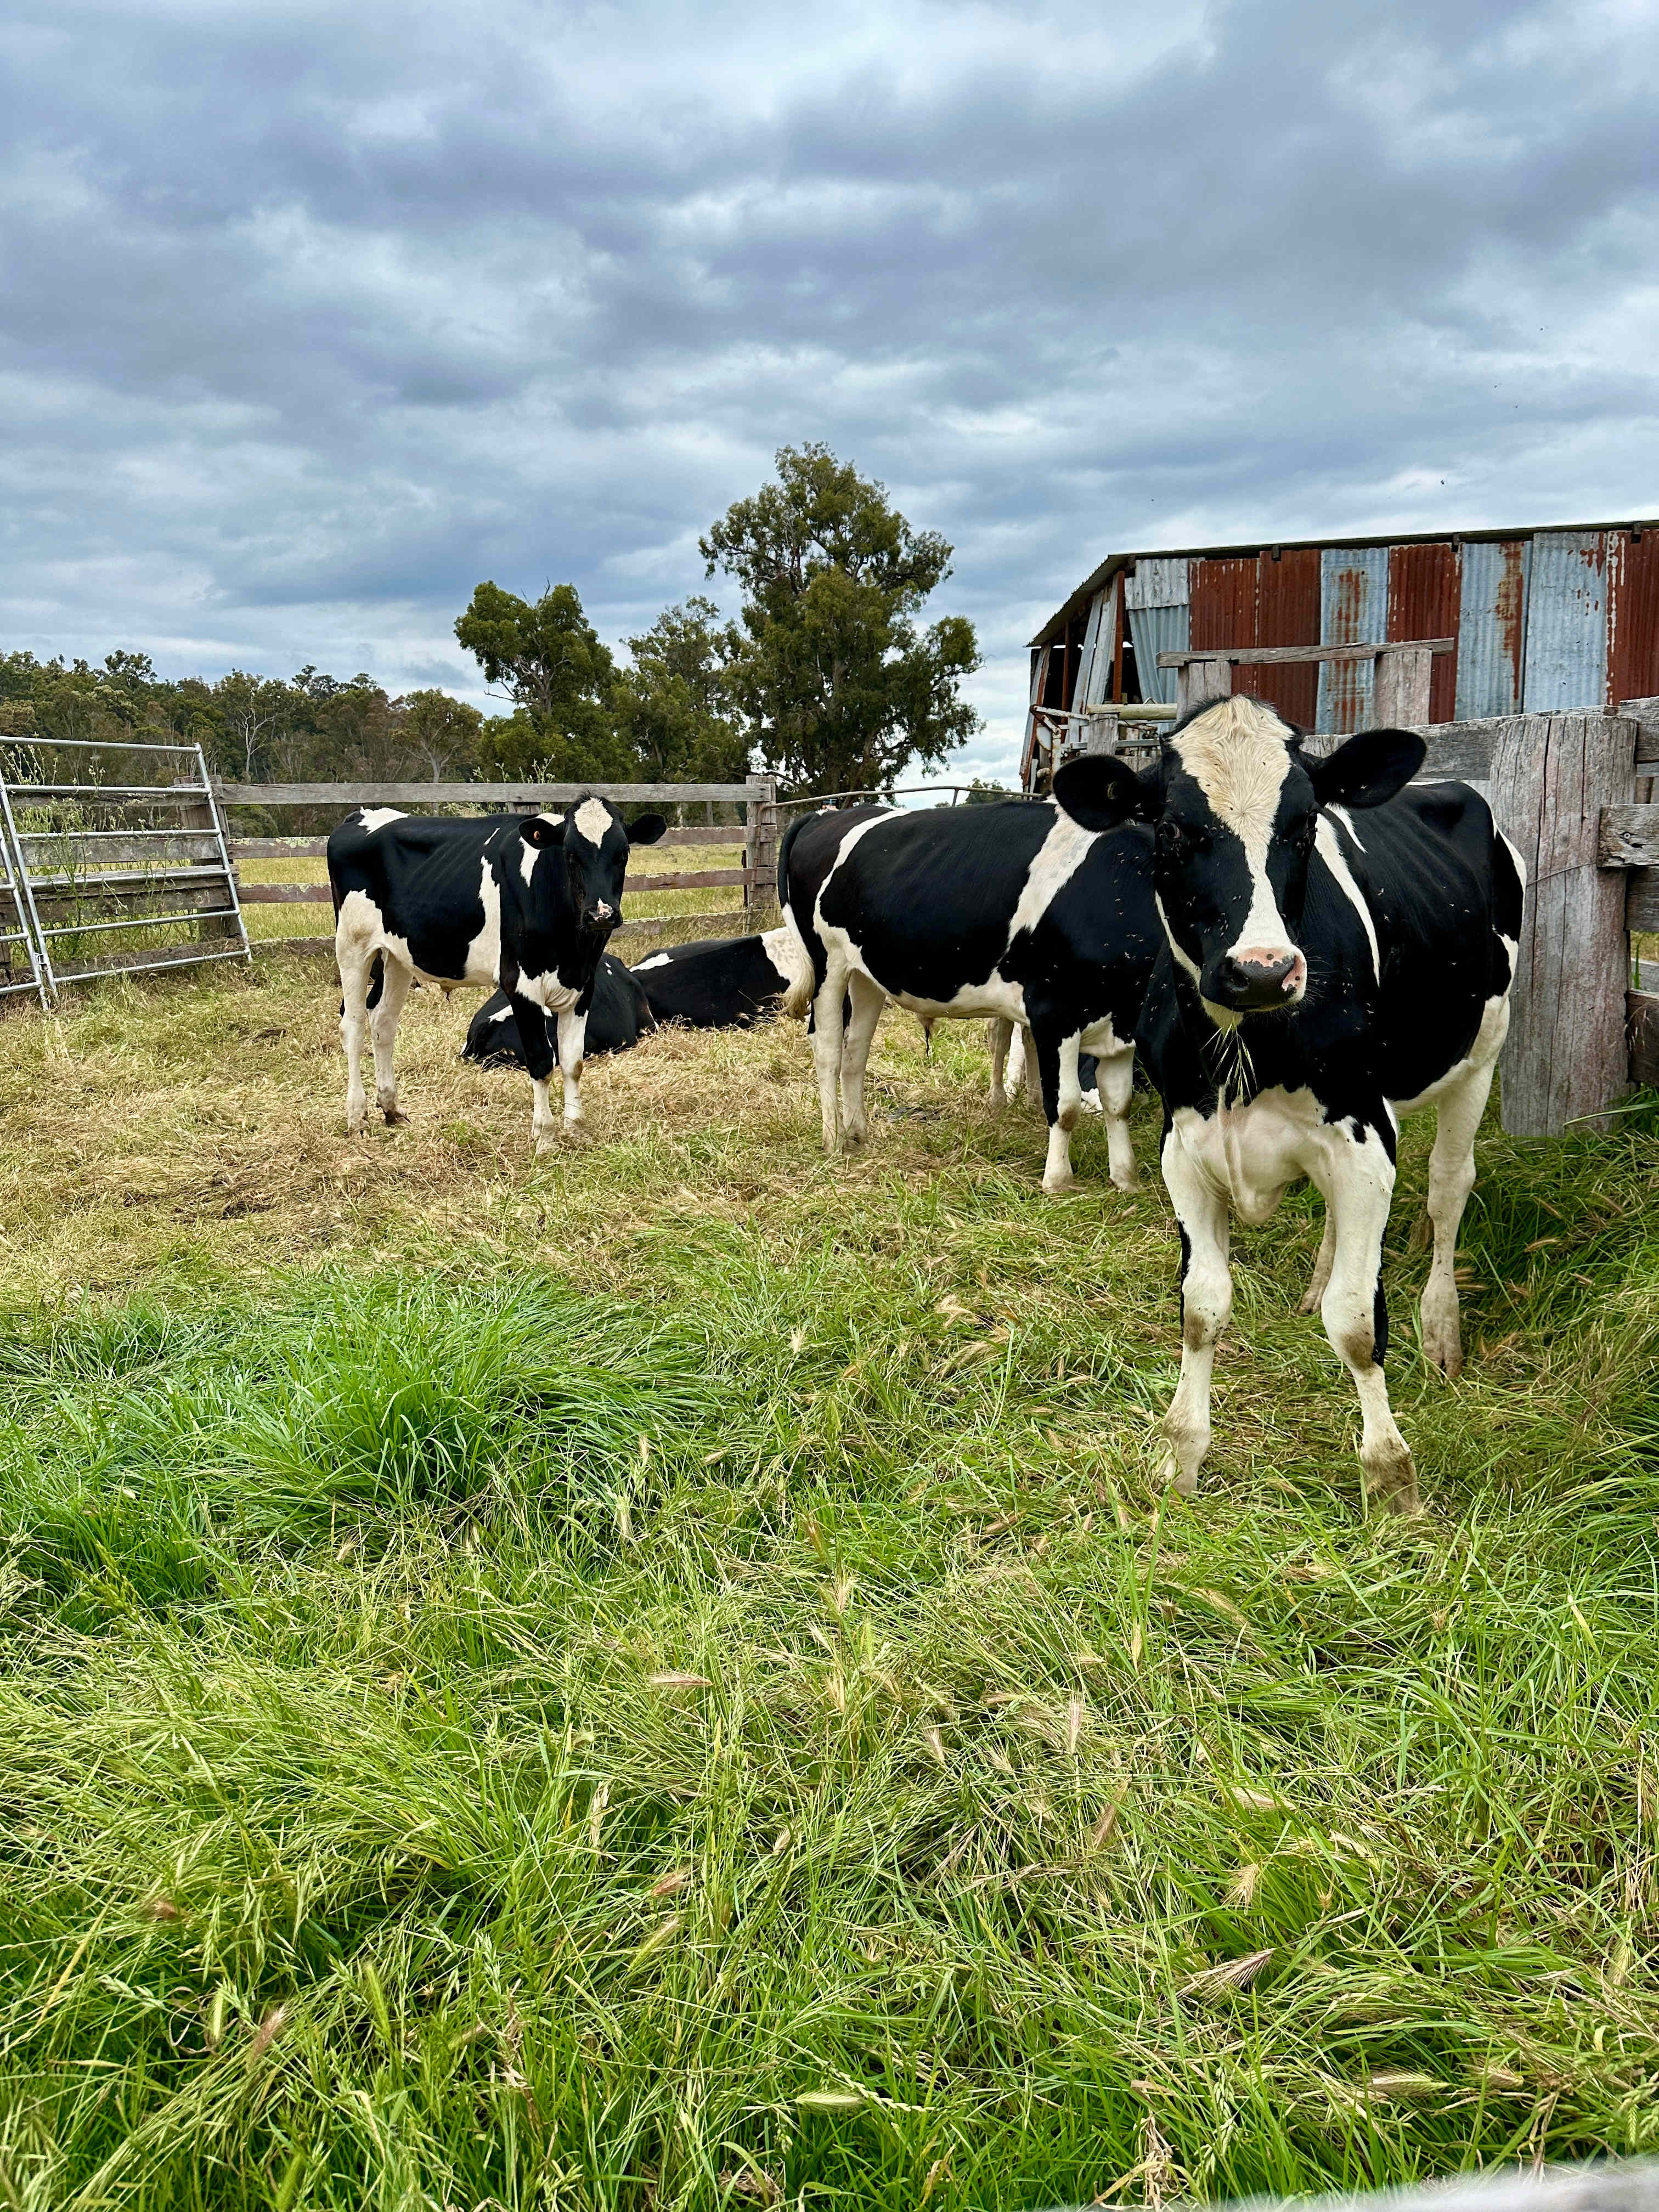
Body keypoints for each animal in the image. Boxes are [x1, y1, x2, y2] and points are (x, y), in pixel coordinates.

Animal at [776, 799, 1160, 1192]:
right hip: (827, 964)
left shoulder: (1122, 1027)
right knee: (827, 1049)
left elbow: (1119, 1103)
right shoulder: (1055, 1013)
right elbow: (1065, 1106)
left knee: (855, 1051)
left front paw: (1126, 1179)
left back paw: (858, 1134)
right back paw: (834, 1140)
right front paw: (1058, 1181)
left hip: (865, 974)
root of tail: (825, 814)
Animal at [1052, 694, 1525, 1515]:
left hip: (1479, 1054)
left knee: (1447, 1189)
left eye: (1304, 826)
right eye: (1170, 830)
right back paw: (1317, 1287)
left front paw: (1390, 1477)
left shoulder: (1364, 1139)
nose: (1264, 971)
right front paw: (1180, 1453)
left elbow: (1359, 1323)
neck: (1249, 1047)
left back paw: (1442, 1330)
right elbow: (1201, 1308)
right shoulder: (1186, 1148)